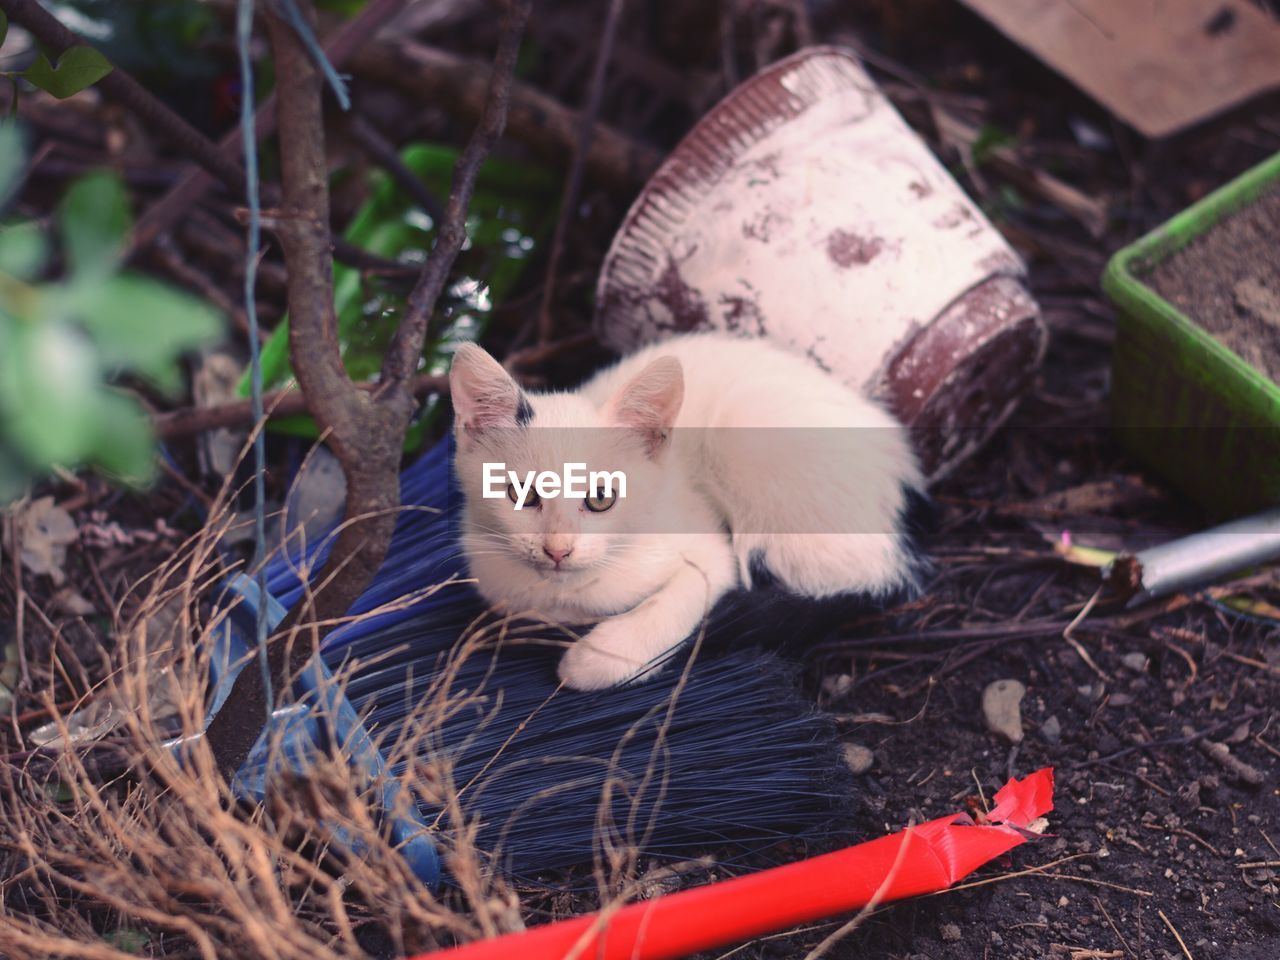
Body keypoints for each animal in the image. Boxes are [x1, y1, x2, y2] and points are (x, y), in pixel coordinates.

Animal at [453, 332, 931, 691]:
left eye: (601, 498)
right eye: (522, 494)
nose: (558, 550)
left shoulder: (708, 552)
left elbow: (688, 594)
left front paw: (599, 657)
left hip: (747, 434)